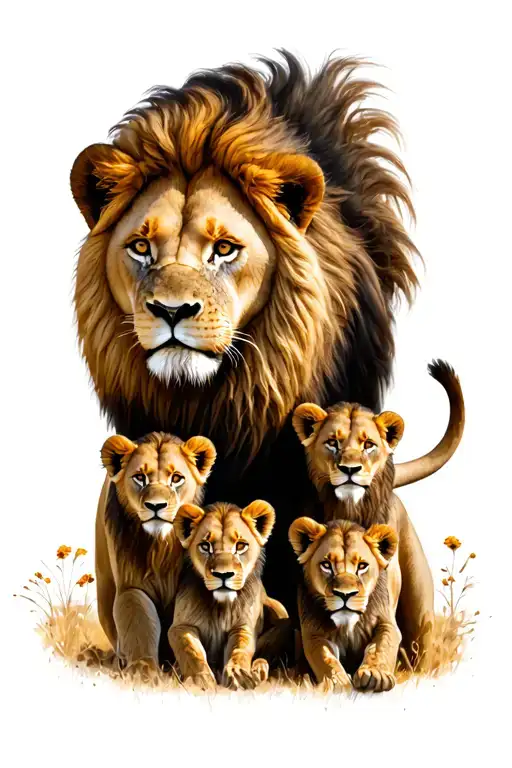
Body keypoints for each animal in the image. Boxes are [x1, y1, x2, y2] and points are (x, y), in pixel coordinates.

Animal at [96, 430, 216, 670]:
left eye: (176, 478)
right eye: (139, 477)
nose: (156, 506)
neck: (161, 549)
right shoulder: (131, 584)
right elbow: (139, 623)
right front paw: (144, 672)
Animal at [169, 500, 288, 690]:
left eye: (240, 545)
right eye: (205, 546)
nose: (223, 575)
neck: (220, 605)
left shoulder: (244, 626)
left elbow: (240, 649)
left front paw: (238, 675)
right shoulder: (180, 626)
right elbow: (191, 650)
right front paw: (199, 680)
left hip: (281, 610)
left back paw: (259, 670)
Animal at [289, 517, 400, 692]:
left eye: (362, 566)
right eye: (326, 565)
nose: (345, 594)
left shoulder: (386, 622)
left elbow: (381, 647)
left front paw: (375, 674)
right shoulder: (313, 633)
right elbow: (325, 657)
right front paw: (336, 682)